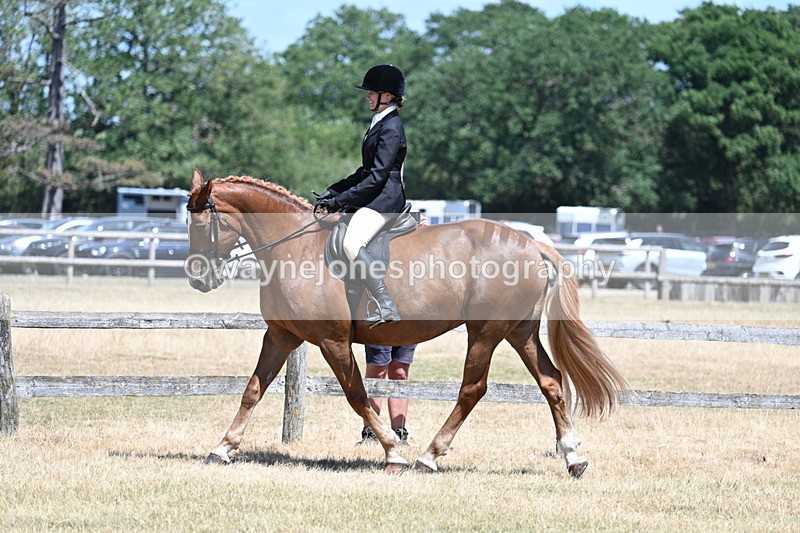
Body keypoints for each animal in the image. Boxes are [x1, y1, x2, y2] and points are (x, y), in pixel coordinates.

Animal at [185, 168, 628, 478]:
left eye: (201, 225)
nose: (198, 280)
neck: (294, 247)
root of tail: (533, 244)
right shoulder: (280, 336)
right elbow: (252, 390)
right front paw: (222, 448)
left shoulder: (332, 341)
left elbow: (357, 395)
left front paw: (392, 452)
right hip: (520, 331)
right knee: (551, 381)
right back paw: (573, 457)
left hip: (485, 331)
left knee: (473, 389)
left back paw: (430, 456)